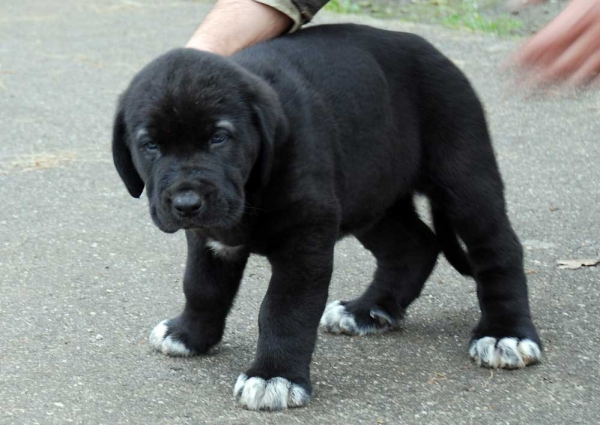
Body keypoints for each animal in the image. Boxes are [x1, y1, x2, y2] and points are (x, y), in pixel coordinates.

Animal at [111, 24, 540, 410]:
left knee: (498, 248)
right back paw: (367, 310)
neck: (255, 183)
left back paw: (506, 334)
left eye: (219, 137)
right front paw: (189, 334)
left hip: (463, 178)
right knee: (414, 245)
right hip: (370, 197)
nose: (186, 203)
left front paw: (275, 376)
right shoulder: (210, 238)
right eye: (150, 145)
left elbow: (284, 309)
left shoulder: (306, 241)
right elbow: (202, 287)